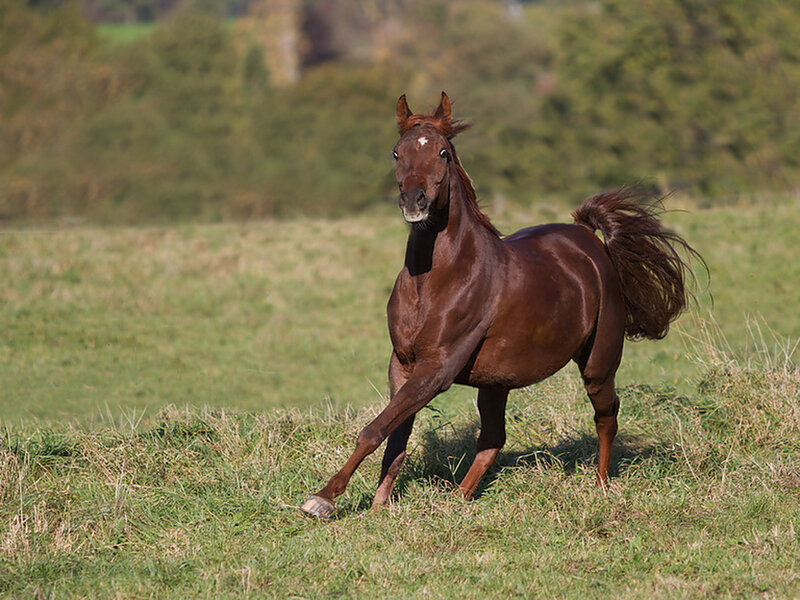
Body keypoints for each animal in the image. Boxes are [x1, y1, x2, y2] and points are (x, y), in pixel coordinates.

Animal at [300, 92, 703, 518]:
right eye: (397, 153)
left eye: (443, 153)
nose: (414, 201)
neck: (436, 279)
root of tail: (589, 240)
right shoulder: (403, 363)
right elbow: (395, 435)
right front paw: (379, 507)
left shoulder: (438, 368)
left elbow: (375, 429)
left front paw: (322, 499)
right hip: (495, 382)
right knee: (494, 438)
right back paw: (457, 501)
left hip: (598, 363)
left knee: (606, 416)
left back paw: (600, 487)